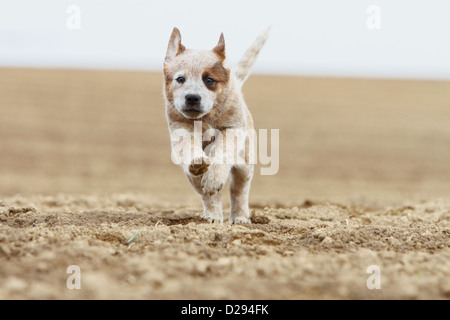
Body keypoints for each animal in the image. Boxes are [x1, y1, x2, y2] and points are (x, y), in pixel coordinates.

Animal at [164, 27, 270, 224]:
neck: (206, 118)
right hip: (192, 178)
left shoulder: (234, 128)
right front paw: (198, 161)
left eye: (209, 80)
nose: (192, 97)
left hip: (245, 165)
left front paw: (214, 176)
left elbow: (223, 148)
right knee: (208, 194)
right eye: (180, 79)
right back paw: (212, 217)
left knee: (239, 191)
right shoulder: (181, 129)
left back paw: (240, 218)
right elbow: (188, 147)